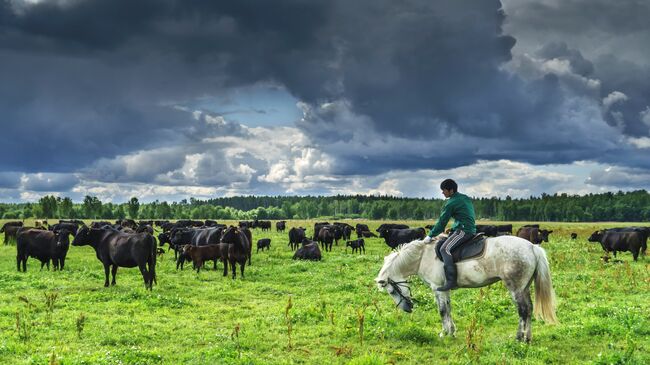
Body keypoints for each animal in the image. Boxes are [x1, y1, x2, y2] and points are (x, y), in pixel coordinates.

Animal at [374, 233, 556, 342]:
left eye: (391, 290)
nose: (407, 308)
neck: (422, 257)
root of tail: (532, 247)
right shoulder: (444, 290)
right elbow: (448, 309)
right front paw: (452, 332)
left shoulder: (437, 288)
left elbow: (442, 311)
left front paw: (444, 333)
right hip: (524, 287)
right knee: (529, 309)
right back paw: (527, 338)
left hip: (516, 288)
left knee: (523, 310)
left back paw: (519, 338)